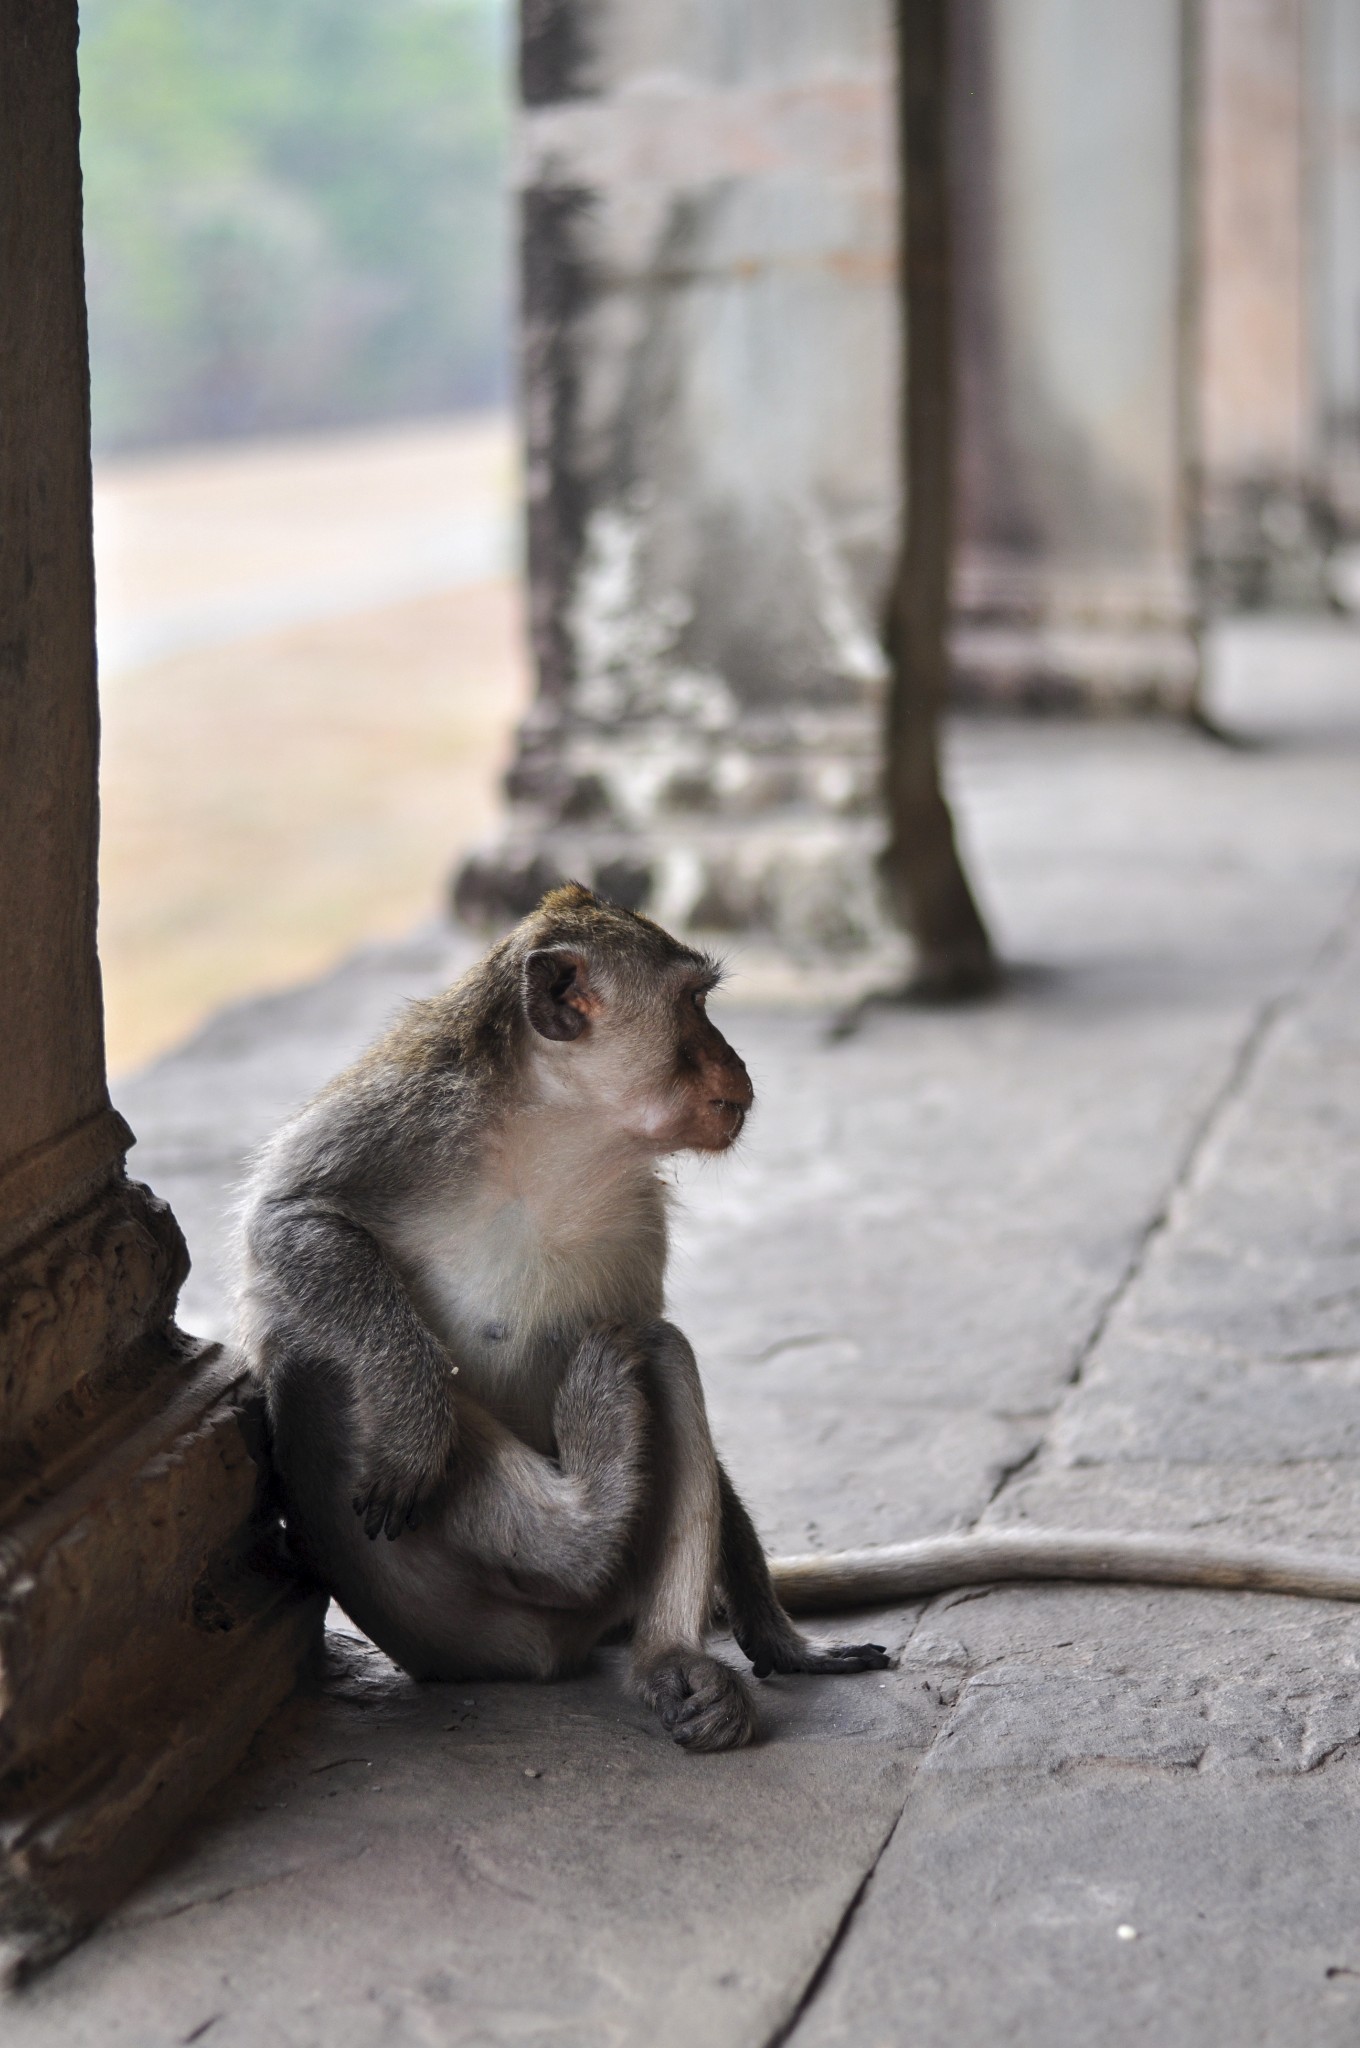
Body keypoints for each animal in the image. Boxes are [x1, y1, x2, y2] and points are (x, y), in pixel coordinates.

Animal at [238, 888, 1360, 1753]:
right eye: (693, 1007)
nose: (739, 1068)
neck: (557, 1131)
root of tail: (554, 1650)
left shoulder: (632, 1209)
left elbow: (651, 1325)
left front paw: (783, 1639)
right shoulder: (410, 1113)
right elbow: (292, 1222)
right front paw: (413, 1414)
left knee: (657, 1350)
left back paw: (678, 1660)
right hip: (441, 1613)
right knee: (317, 1357)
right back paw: (567, 1518)